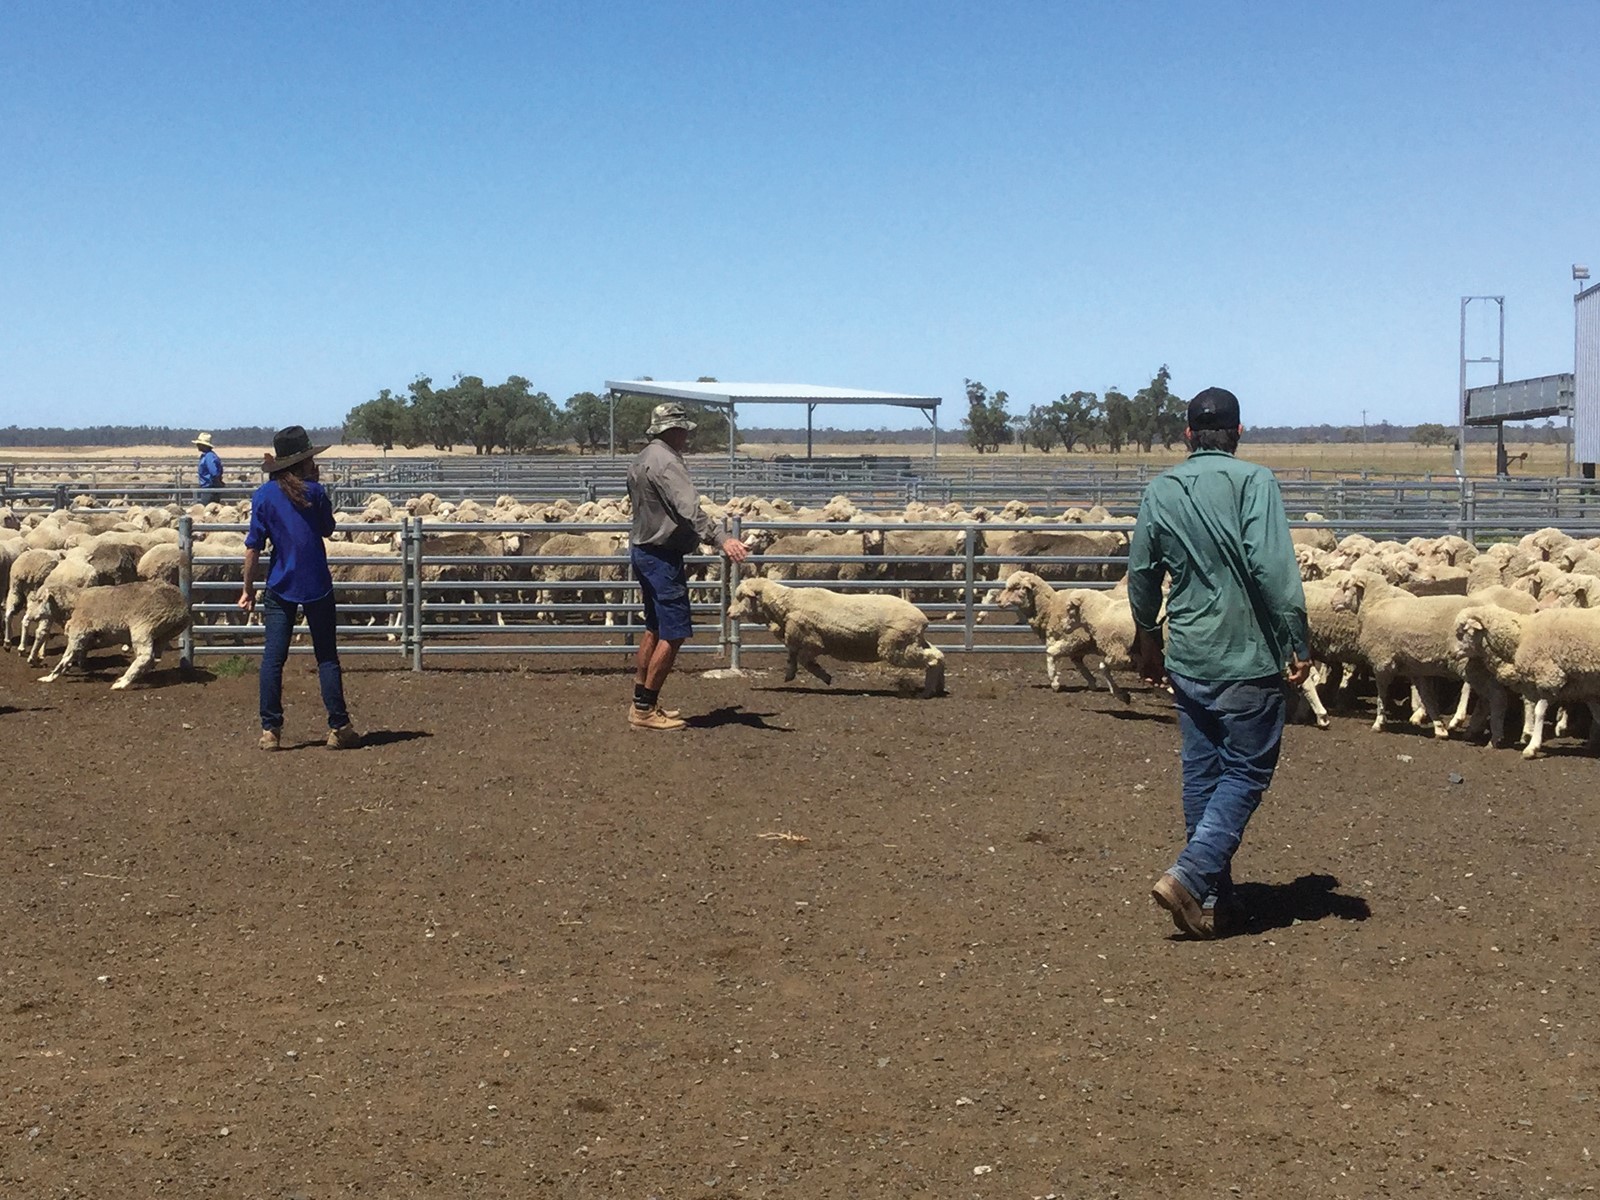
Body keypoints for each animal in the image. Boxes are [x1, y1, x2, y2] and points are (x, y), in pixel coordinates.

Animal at [33, 579, 192, 691]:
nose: (32, 617)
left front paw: (50, 677)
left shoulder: (78, 632)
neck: (74, 603)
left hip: (144, 626)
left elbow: (66, 657)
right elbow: (76, 655)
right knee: (153, 659)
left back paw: (122, 683)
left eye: (40, 600)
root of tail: (181, 605)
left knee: (145, 657)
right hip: (165, 634)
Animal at [729, 579, 940, 700]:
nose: (729, 613)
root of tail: (922, 619)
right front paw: (790, 674)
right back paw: (936, 688)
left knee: (935, 659)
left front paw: (825, 677)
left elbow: (804, 660)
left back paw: (927, 692)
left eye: (740, 596)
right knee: (938, 655)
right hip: (912, 642)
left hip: (896, 646)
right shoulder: (796, 636)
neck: (787, 603)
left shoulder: (813, 641)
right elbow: (792, 655)